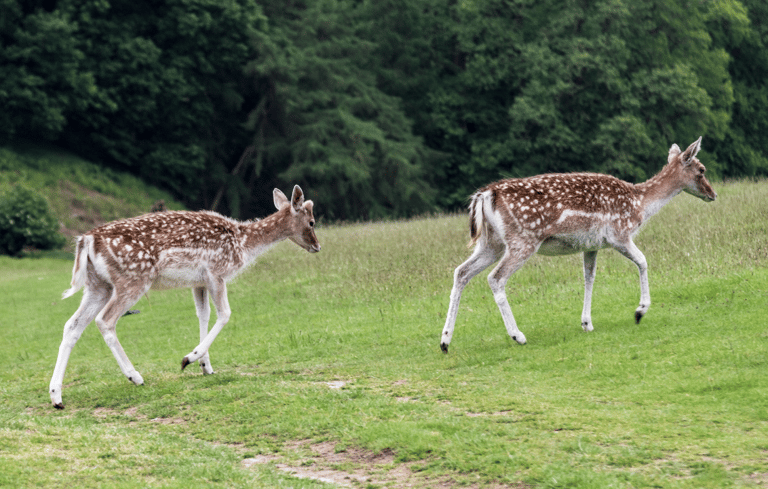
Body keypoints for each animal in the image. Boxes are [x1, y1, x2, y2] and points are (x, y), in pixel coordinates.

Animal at [49, 185, 320, 409]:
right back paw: (135, 377)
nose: (317, 247)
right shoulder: (216, 272)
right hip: (132, 279)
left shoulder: (198, 281)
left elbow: (204, 314)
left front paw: (206, 367)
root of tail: (86, 240)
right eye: (312, 222)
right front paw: (189, 358)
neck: (242, 244)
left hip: (98, 285)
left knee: (72, 325)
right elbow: (225, 314)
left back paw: (56, 396)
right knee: (105, 321)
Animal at [440, 137, 717, 353]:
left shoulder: (591, 244)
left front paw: (586, 323)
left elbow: (589, 277)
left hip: (491, 243)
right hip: (523, 239)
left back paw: (445, 342)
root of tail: (485, 195)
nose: (713, 194)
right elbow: (643, 261)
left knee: (461, 272)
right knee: (495, 278)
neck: (640, 204)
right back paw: (518, 336)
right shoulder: (619, 234)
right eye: (702, 169)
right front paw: (640, 311)